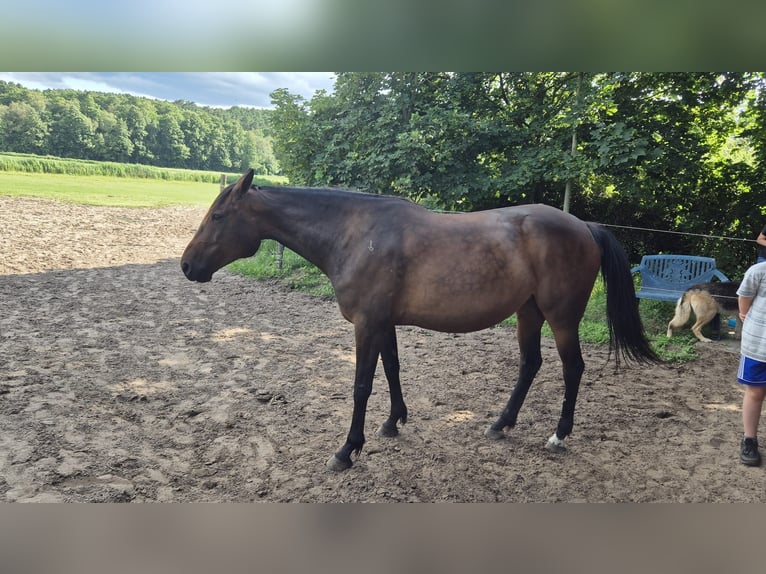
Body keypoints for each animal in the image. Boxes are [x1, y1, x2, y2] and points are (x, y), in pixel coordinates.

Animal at [181, 169, 660, 471]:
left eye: (218, 216)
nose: (187, 265)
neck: (356, 235)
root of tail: (583, 225)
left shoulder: (366, 324)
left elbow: (361, 385)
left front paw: (347, 450)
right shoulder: (383, 323)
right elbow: (392, 369)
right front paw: (394, 422)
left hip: (561, 317)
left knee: (572, 368)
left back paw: (559, 435)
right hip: (529, 312)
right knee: (530, 365)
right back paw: (500, 424)